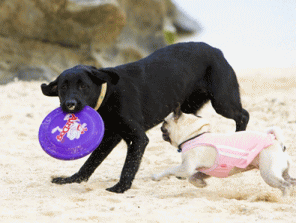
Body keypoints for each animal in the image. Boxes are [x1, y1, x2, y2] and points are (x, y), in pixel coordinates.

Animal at [40, 41, 249, 193]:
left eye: (83, 86)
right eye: (63, 87)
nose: (70, 105)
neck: (108, 95)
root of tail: (216, 50)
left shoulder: (138, 137)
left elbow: (128, 166)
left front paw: (120, 188)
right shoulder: (110, 137)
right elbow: (90, 162)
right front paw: (72, 180)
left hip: (222, 101)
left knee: (243, 115)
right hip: (190, 107)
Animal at [154, 108, 294, 197]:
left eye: (165, 122)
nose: (160, 127)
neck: (193, 135)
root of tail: (277, 142)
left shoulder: (185, 168)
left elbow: (170, 170)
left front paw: (156, 177)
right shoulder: (204, 171)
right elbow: (193, 177)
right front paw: (201, 184)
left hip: (268, 174)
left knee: (285, 185)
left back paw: (284, 198)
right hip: (281, 172)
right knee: (291, 181)